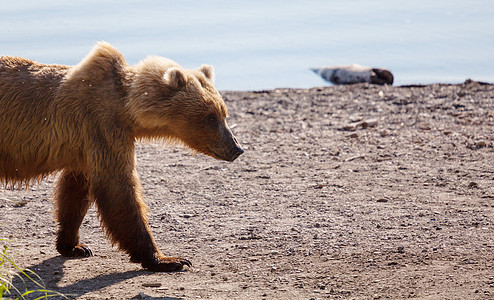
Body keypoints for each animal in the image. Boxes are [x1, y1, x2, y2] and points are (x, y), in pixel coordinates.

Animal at [0, 41, 243, 272]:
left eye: (224, 113)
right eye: (210, 117)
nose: (236, 148)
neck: (128, 109)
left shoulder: (84, 147)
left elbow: (74, 192)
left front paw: (74, 246)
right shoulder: (102, 126)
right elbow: (118, 190)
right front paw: (167, 259)